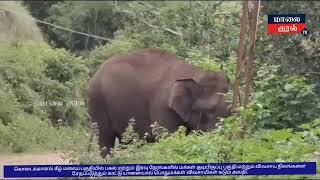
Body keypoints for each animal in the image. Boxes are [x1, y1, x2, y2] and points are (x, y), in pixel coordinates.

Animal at [88, 48, 230, 158]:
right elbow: (170, 139)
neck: (195, 73)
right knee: (105, 141)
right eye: (209, 112)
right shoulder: (163, 108)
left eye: (231, 113)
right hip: (98, 104)